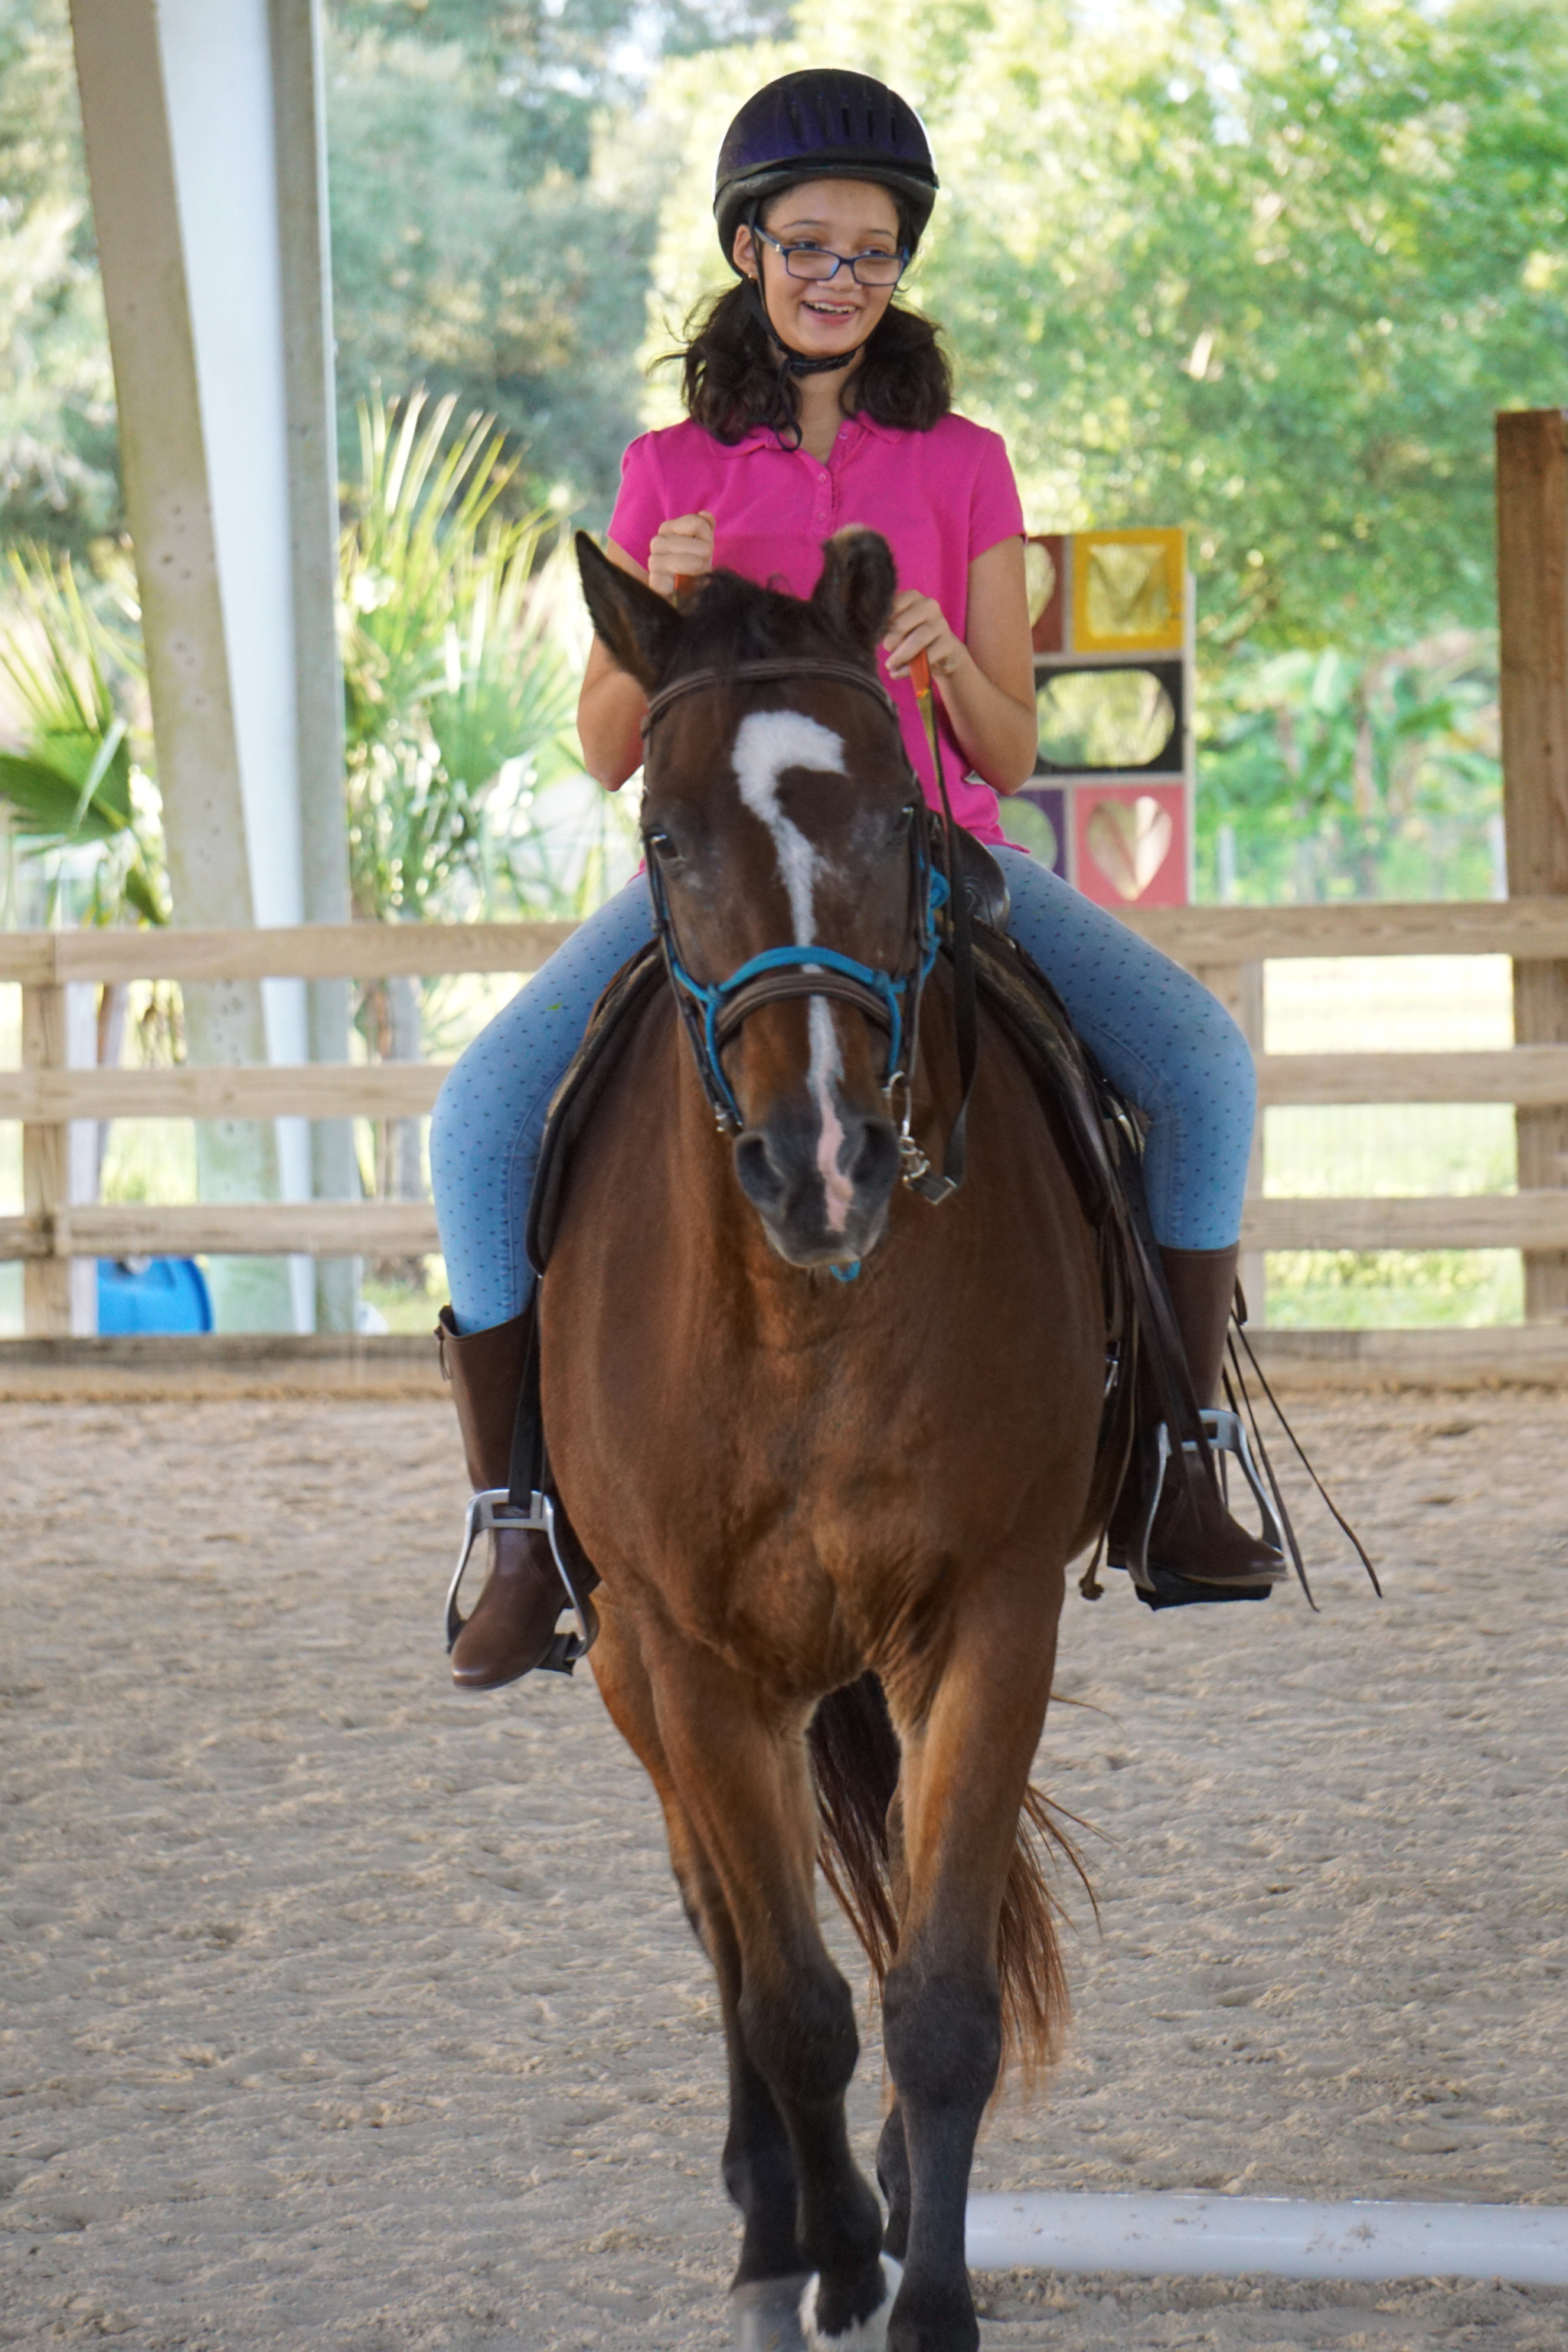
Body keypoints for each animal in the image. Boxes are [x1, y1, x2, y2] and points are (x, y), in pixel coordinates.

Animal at [545, 534, 1109, 2352]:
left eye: (897, 819)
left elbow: (935, 1996)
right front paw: (839, 2256)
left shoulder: (988, 1615)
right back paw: (770, 2218)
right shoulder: (691, 1656)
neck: (806, 1322)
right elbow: (788, 1995)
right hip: (629, 1661)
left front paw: (926, 2288)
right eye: (663, 834)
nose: (827, 1165)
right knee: (723, 1924)